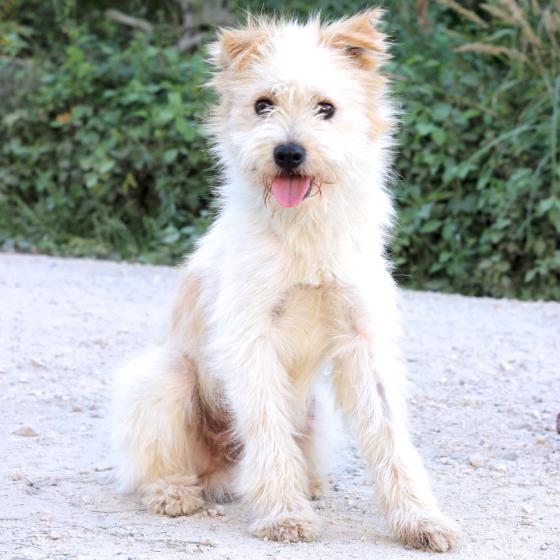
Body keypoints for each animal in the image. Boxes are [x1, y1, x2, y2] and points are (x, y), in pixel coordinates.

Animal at [112, 9, 459, 550]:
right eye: (263, 104)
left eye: (326, 108)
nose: (289, 153)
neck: (304, 234)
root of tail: (222, 472)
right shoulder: (250, 339)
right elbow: (267, 429)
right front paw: (283, 514)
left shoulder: (362, 340)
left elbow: (387, 433)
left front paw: (419, 519)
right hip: (162, 377)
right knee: (158, 464)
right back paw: (174, 493)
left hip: (317, 413)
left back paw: (309, 483)